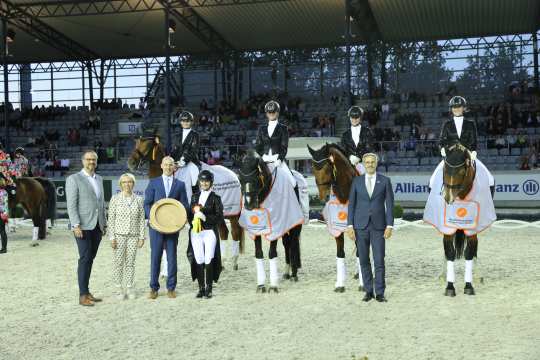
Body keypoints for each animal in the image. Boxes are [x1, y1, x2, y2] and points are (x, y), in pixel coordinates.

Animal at [126, 136, 245, 268]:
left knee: (235, 232)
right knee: (224, 232)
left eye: (146, 146)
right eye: (136, 144)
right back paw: (222, 262)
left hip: (232, 214)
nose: (131, 163)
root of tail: (234, 175)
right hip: (220, 214)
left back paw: (234, 261)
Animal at [237, 150, 304, 294]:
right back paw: (287, 272)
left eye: (256, 178)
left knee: (293, 243)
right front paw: (261, 285)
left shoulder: (276, 228)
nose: (249, 205)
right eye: (240, 179)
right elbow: (258, 253)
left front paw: (273, 286)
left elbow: (272, 253)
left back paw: (294, 274)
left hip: (295, 224)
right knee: (287, 244)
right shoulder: (256, 229)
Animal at [308, 143, 362, 292]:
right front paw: (340, 284)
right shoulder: (337, 229)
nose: (323, 197)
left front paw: (362, 285)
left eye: (327, 167)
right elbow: (340, 254)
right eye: (313, 168)